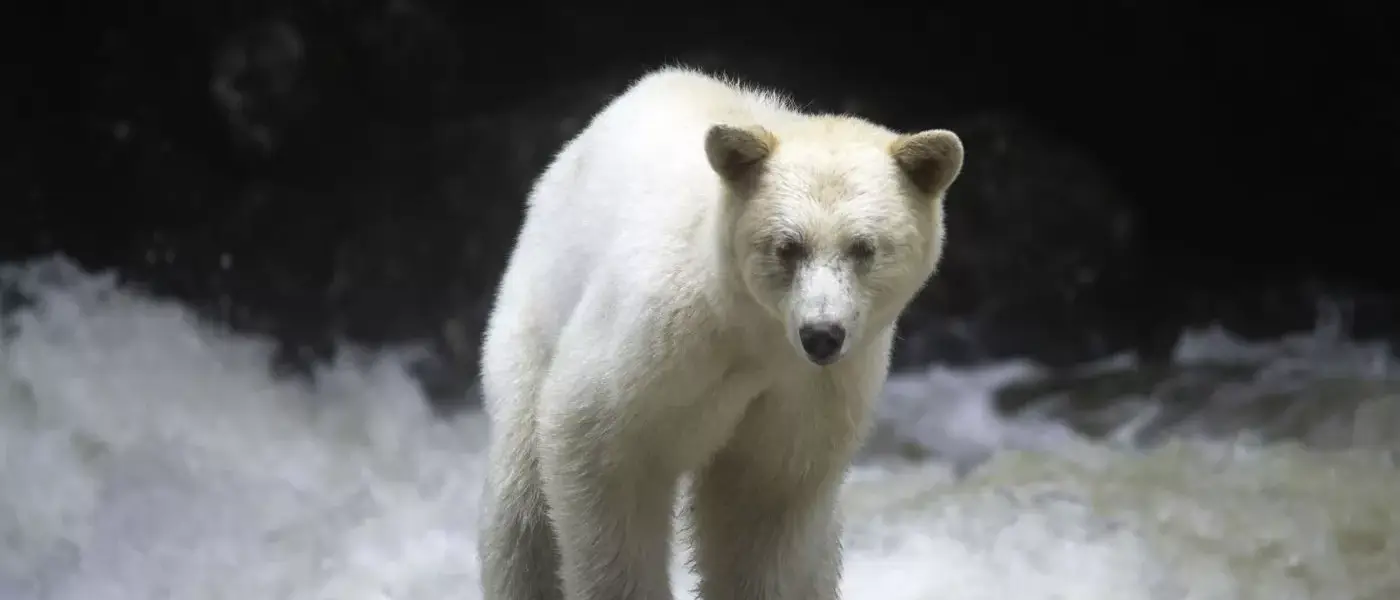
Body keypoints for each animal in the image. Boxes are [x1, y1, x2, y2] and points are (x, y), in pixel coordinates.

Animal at [477, 65, 964, 600]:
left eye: (864, 248)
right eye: (787, 246)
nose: (821, 334)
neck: (754, 331)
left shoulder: (812, 389)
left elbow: (762, 505)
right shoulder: (658, 337)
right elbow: (600, 446)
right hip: (536, 306)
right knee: (522, 504)